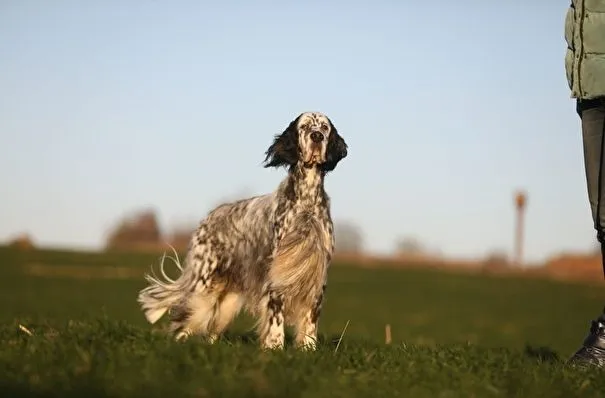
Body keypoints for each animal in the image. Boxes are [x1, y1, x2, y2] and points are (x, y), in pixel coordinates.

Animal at [136, 110, 344, 350]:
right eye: (305, 127)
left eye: (325, 127)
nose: (317, 136)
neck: (306, 204)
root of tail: (208, 217)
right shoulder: (276, 272)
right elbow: (276, 318)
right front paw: (275, 347)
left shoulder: (317, 273)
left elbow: (310, 320)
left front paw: (308, 349)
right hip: (203, 283)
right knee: (185, 316)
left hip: (229, 296)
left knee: (211, 327)